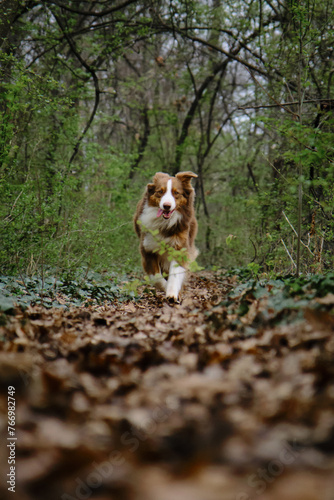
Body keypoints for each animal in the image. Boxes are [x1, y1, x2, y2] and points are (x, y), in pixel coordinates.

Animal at [134, 170, 200, 300]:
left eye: (176, 193)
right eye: (160, 191)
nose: (166, 206)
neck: (164, 223)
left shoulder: (179, 247)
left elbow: (175, 274)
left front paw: (172, 293)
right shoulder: (148, 248)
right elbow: (156, 277)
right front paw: (165, 287)